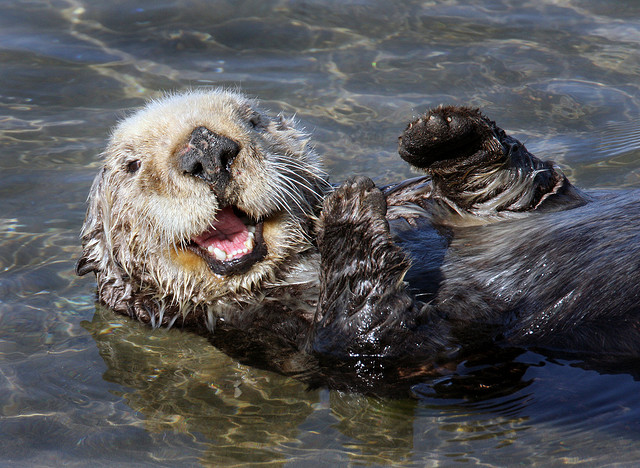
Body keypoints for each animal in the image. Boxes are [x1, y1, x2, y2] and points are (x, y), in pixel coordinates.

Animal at [77, 88, 640, 376]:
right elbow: (373, 340)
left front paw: (440, 130)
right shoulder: (281, 339)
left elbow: (517, 184)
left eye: (254, 120)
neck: (297, 271)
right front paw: (346, 212)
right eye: (130, 165)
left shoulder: (456, 203)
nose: (207, 150)